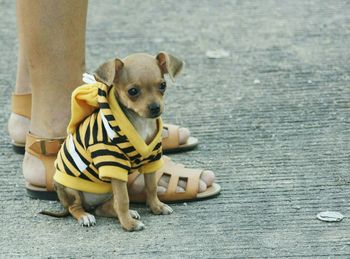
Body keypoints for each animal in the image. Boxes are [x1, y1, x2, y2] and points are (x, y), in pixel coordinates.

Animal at [42, 52, 185, 232]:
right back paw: (85, 216)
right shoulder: (113, 164)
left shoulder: (152, 158)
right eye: (133, 91)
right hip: (71, 189)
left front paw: (156, 206)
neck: (141, 123)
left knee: (105, 208)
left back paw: (127, 212)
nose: (155, 108)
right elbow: (123, 200)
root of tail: (90, 205)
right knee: (75, 207)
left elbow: (151, 187)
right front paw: (128, 225)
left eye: (163, 85)